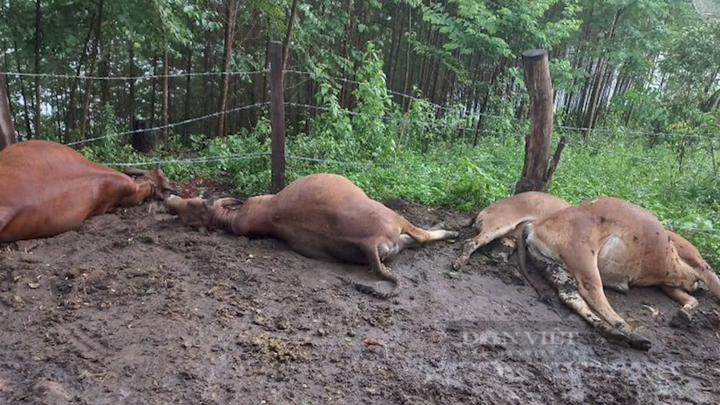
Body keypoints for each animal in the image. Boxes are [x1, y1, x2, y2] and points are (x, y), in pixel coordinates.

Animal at [164, 173, 459, 298]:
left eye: (191, 205)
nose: (169, 200)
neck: (232, 218)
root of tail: (370, 244)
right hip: (396, 219)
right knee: (421, 236)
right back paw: (450, 230)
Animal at [517, 197, 720, 350]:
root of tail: (534, 225)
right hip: (584, 260)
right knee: (593, 293)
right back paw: (631, 334)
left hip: (554, 267)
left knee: (570, 296)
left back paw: (615, 332)